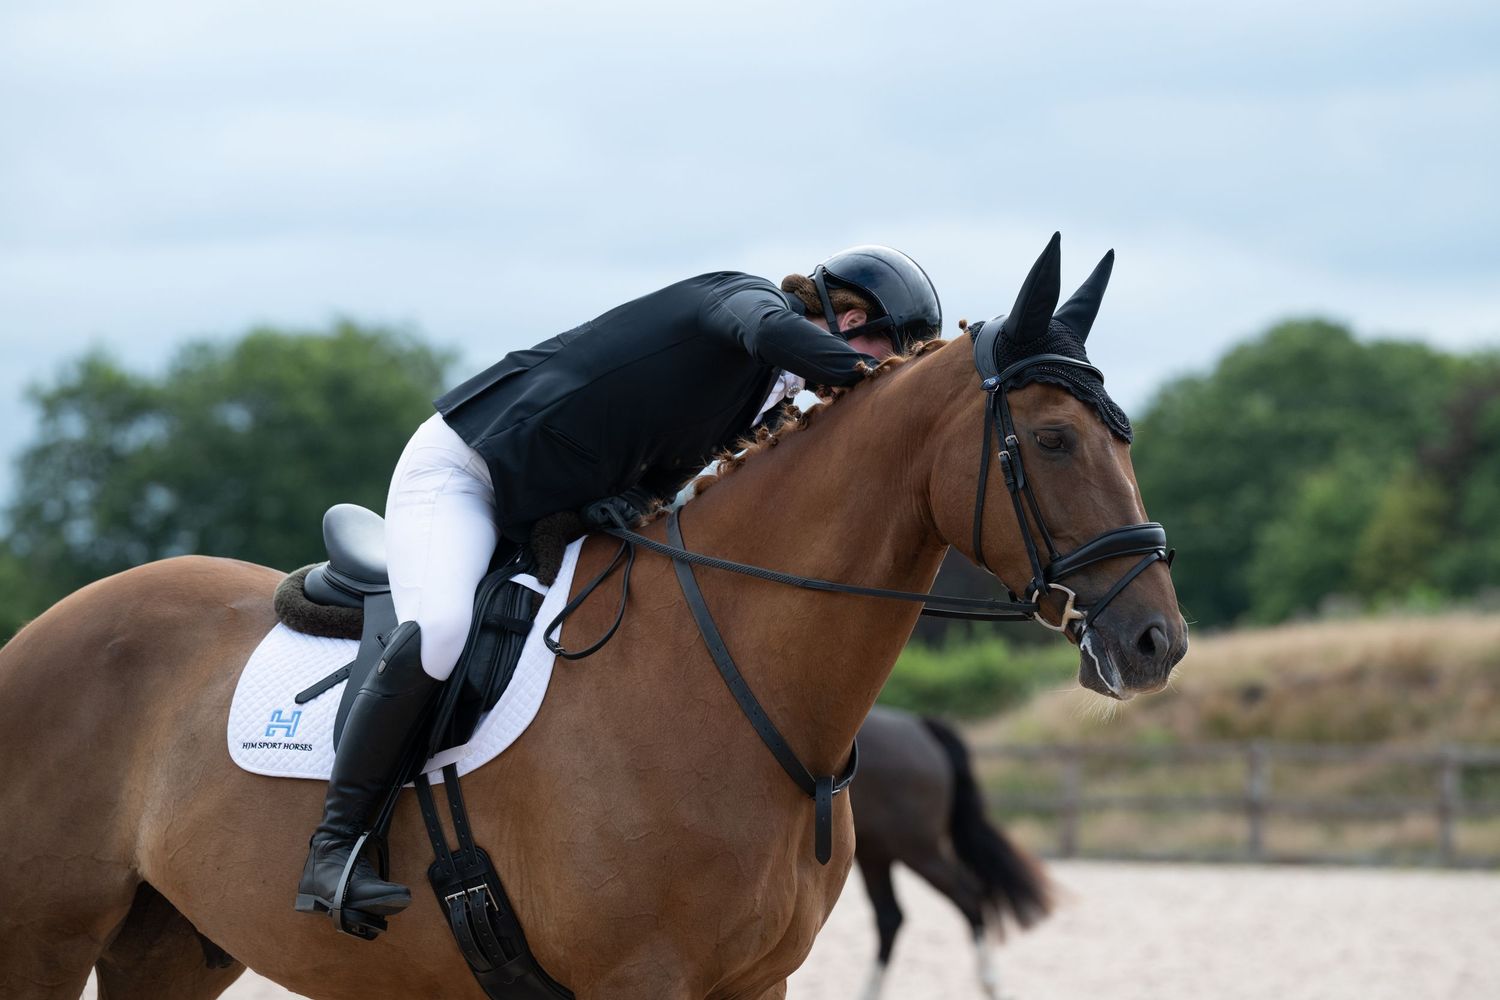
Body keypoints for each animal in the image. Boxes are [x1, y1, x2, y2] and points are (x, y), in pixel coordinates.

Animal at [851, 706, 1051, 1000]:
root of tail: (919, 728)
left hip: (918, 852)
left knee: (970, 897)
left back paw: (989, 981)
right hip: (875, 853)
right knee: (890, 917)